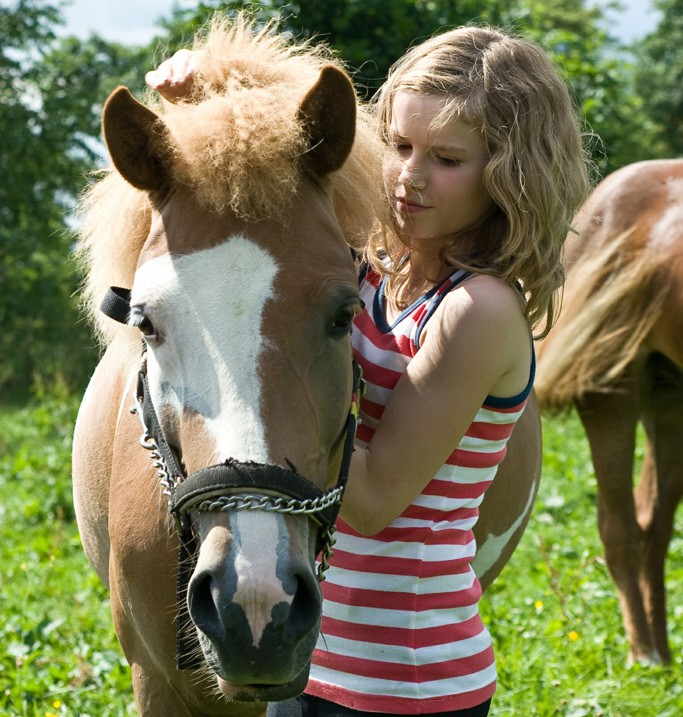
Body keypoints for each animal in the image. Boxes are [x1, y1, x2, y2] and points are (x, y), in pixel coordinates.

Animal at [535, 158, 683, 665]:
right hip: (611, 394)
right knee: (619, 528)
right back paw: (645, 655)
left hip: (667, 396)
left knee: (653, 528)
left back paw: (661, 651)